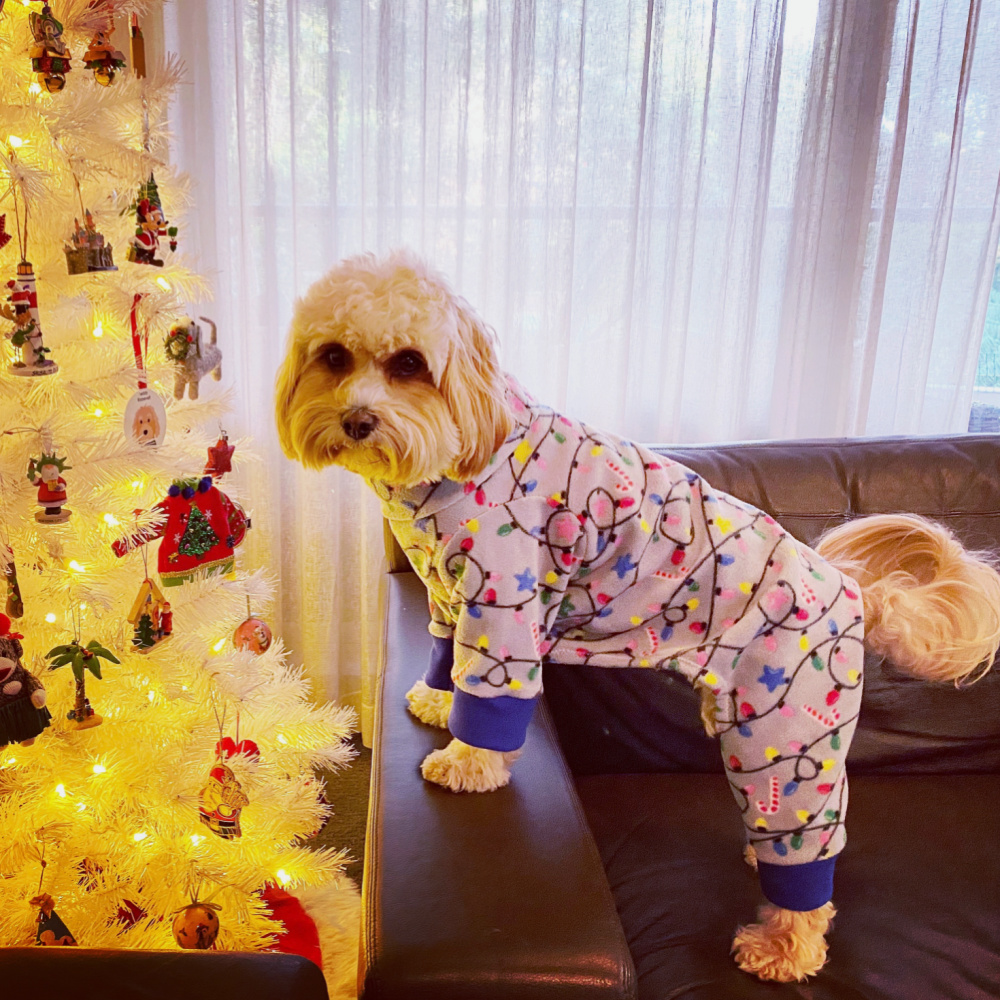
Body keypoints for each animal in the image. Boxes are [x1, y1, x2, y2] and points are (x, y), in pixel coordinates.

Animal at [278, 250, 1000, 984]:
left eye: (408, 364)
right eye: (334, 356)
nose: (356, 420)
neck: (471, 449)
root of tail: (851, 590)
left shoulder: (504, 599)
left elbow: (492, 699)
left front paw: (469, 762)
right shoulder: (451, 598)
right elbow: (444, 652)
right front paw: (434, 698)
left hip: (790, 730)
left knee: (804, 845)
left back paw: (783, 945)